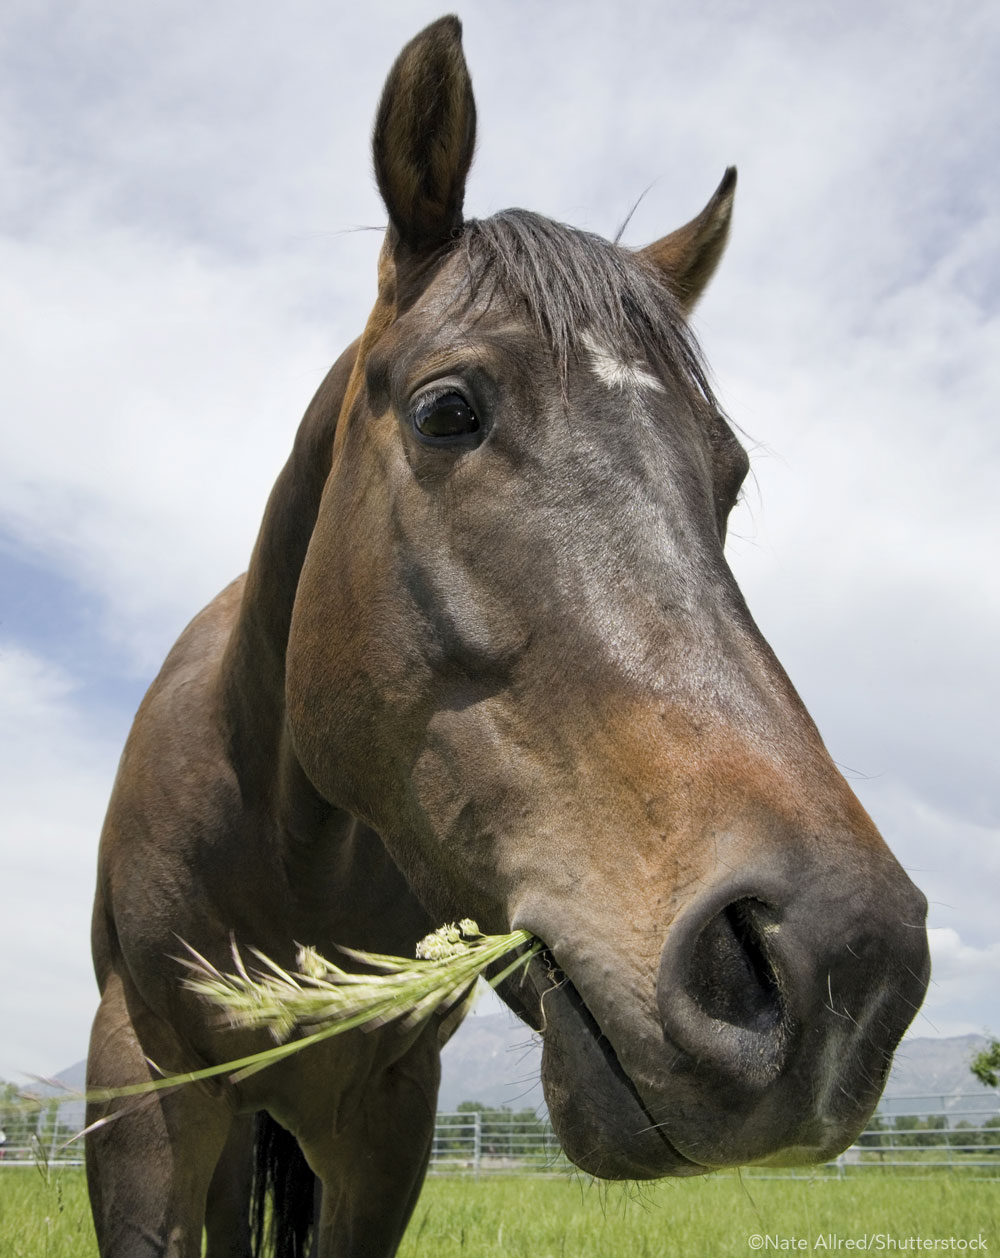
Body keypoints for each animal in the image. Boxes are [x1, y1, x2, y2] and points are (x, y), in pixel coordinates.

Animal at [84, 12, 930, 1258]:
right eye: (448, 410)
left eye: (725, 479)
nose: (840, 961)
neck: (284, 842)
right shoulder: (142, 1081)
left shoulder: (387, 1117)